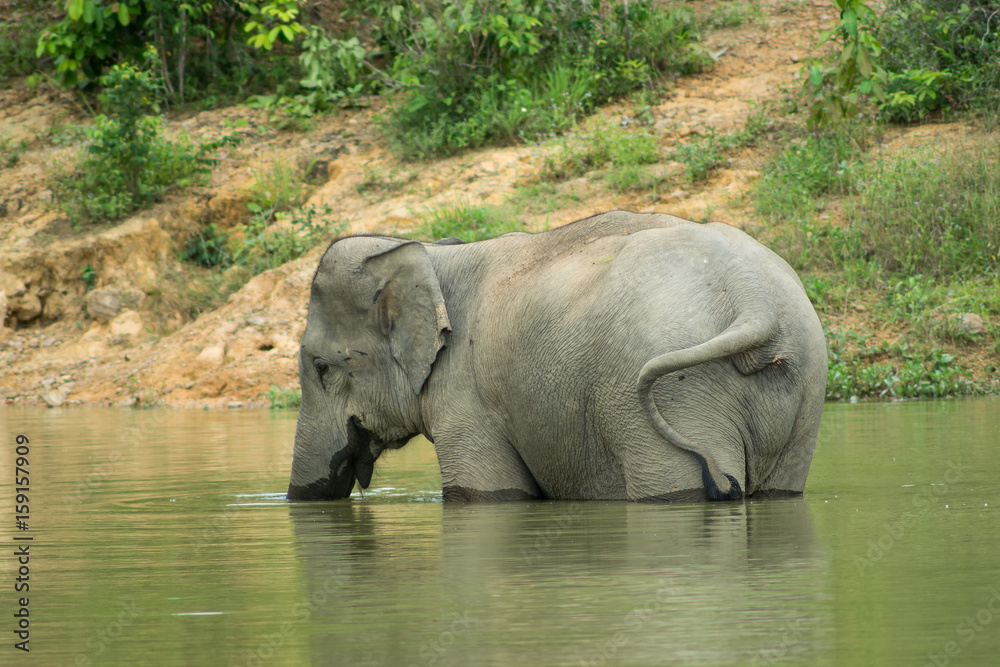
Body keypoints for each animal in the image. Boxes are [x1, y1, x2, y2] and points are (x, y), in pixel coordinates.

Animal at [287, 210, 827, 502]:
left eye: (322, 368)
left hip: (675, 398)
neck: (433, 253)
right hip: (805, 385)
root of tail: (750, 292)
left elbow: (484, 491)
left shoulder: (467, 400)